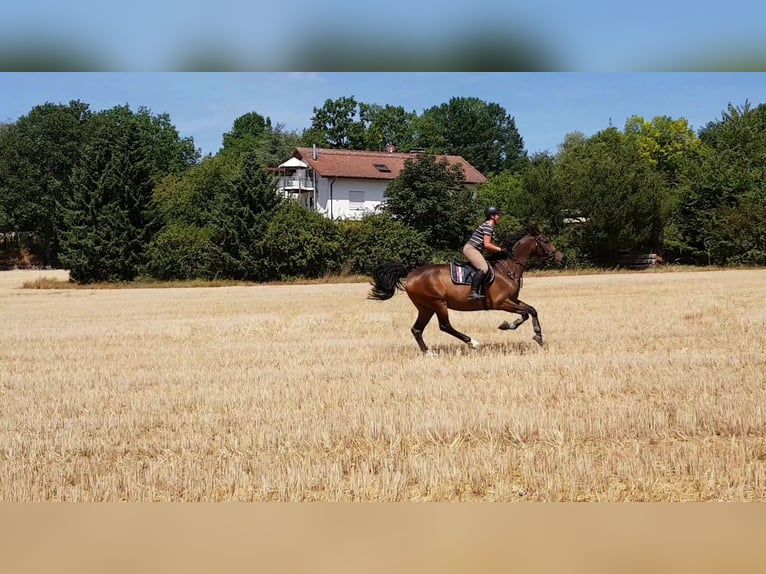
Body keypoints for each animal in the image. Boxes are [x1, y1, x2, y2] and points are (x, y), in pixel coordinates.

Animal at [368, 225, 564, 353]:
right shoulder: (501, 303)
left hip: (425, 307)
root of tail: (410, 275)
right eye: (546, 240)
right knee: (444, 326)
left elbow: (531, 310)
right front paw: (512, 326)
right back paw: (473, 343)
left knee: (417, 329)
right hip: (438, 303)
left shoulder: (513, 300)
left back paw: (428, 352)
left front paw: (534, 334)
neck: (508, 268)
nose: (561, 257)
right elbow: (526, 313)